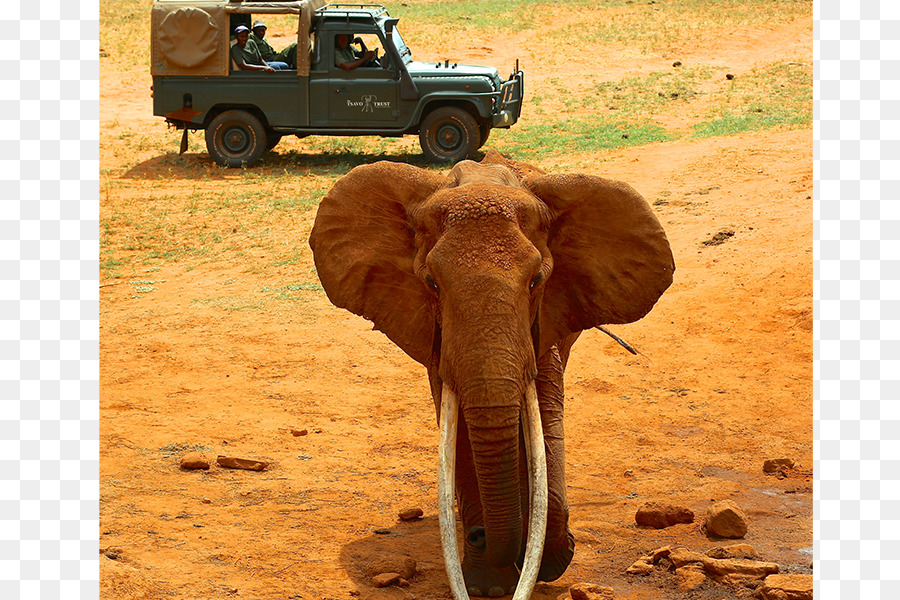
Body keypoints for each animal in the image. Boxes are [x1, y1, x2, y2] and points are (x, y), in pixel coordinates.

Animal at [310, 150, 676, 600]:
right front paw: (486, 584)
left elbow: (545, 413)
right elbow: (461, 432)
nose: (480, 536)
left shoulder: (545, 320)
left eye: (536, 280)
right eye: (431, 283)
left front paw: (551, 559)